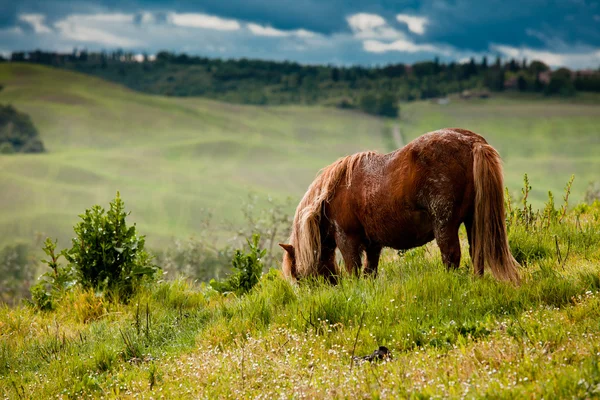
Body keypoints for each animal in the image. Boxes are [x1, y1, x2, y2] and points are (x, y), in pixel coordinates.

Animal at [282, 128, 520, 284]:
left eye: (298, 275)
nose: (328, 287)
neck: (331, 195)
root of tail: (472, 142)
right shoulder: (373, 245)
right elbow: (370, 271)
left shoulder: (347, 240)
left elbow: (354, 270)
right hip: (473, 221)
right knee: (476, 253)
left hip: (445, 225)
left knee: (451, 256)